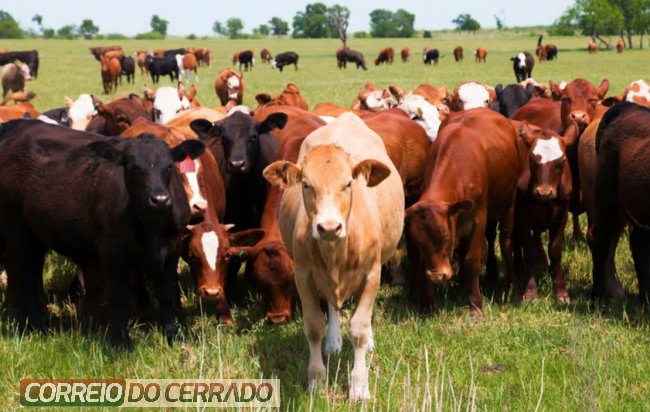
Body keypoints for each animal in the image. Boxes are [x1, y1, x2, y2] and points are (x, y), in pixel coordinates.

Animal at [0, 119, 205, 348]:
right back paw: (35, 326)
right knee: (23, 275)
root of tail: (20, 126)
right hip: (16, 229)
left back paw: (33, 324)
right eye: (134, 168)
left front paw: (173, 336)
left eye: (169, 166)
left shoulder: (172, 247)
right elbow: (118, 295)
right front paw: (121, 341)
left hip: (35, 235)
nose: (159, 199)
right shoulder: (112, 250)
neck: (152, 226)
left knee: (31, 273)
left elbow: (166, 293)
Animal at [263, 113, 404, 400]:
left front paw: (359, 386)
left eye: (348, 183)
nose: (329, 227)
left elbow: (359, 329)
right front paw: (317, 379)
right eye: (306, 184)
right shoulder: (303, 275)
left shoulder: (372, 274)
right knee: (332, 305)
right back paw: (333, 342)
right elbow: (314, 326)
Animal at [405, 109, 522, 312]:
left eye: (445, 237)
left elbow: (471, 260)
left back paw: (513, 289)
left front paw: (475, 305)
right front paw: (427, 304)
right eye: (418, 242)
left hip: (508, 203)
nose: (437, 276)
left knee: (506, 243)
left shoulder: (479, 218)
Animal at [513, 121, 580, 304]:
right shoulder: (523, 218)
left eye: (561, 162)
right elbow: (528, 250)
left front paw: (561, 292)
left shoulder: (561, 216)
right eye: (531, 160)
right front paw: (530, 292)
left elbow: (555, 250)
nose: (544, 192)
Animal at [592, 102, 650, 305]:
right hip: (605, 200)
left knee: (638, 246)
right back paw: (597, 297)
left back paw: (645, 298)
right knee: (600, 242)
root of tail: (627, 106)